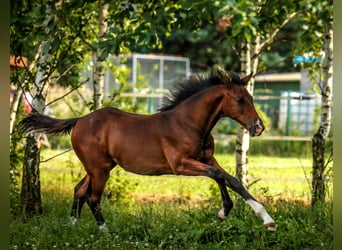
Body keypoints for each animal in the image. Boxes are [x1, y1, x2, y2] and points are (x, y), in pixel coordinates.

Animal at [18, 68, 276, 230]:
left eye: (252, 98)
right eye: (240, 100)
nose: (259, 127)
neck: (189, 123)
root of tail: (79, 120)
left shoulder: (208, 159)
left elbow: (231, 179)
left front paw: (264, 218)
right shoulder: (180, 165)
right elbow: (218, 175)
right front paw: (225, 213)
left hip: (100, 167)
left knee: (80, 190)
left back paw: (72, 226)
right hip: (99, 169)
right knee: (93, 197)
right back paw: (106, 233)